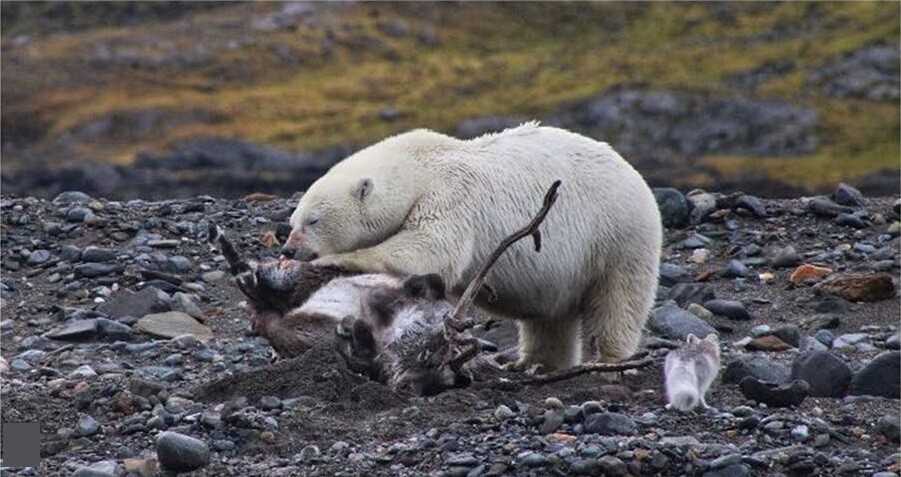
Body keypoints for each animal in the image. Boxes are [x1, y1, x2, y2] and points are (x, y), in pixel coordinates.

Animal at [284, 122, 664, 368]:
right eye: (293, 222)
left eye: (313, 221)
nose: (288, 250)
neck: (418, 167)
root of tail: (635, 174)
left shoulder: (451, 195)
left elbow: (429, 248)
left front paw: (337, 259)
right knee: (550, 319)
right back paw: (534, 363)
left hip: (618, 237)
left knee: (619, 301)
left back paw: (610, 357)